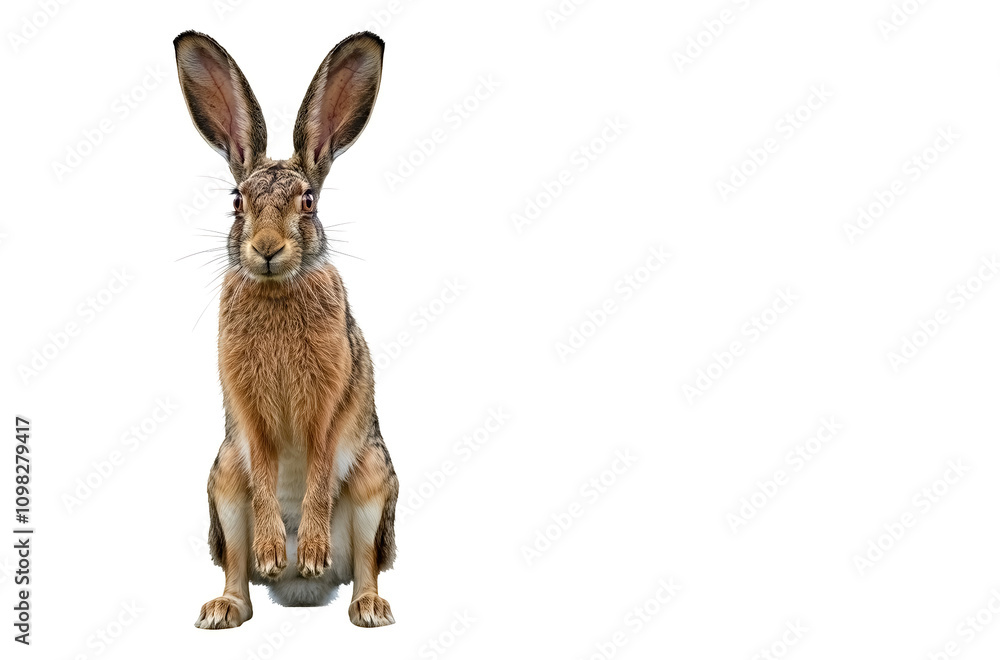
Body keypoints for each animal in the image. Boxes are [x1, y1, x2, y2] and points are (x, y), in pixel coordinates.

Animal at [173, 30, 398, 629]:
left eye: (309, 202)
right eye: (237, 203)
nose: (267, 249)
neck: (278, 289)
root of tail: (302, 593)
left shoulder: (330, 401)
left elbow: (319, 465)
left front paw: (311, 547)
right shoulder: (246, 412)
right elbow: (266, 465)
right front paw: (274, 549)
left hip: (374, 482)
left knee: (366, 564)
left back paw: (366, 605)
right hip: (224, 482)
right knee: (237, 570)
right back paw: (227, 606)